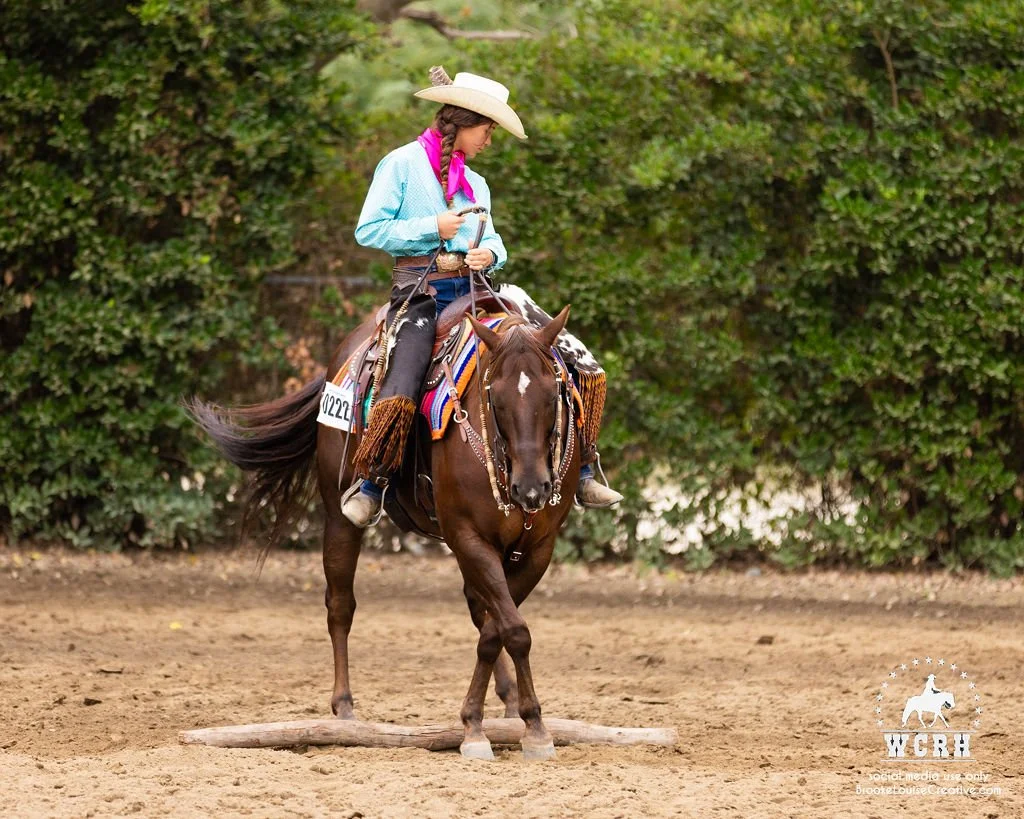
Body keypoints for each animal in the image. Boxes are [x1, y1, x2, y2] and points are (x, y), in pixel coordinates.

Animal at [186, 301, 581, 760]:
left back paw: (507, 697)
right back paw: (343, 710)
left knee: (478, 608)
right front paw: (493, 727)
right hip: (339, 516)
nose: (532, 488)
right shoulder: (468, 536)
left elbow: (496, 630)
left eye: (552, 394)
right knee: (340, 606)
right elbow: (512, 630)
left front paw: (518, 719)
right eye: (495, 397)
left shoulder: (537, 549)